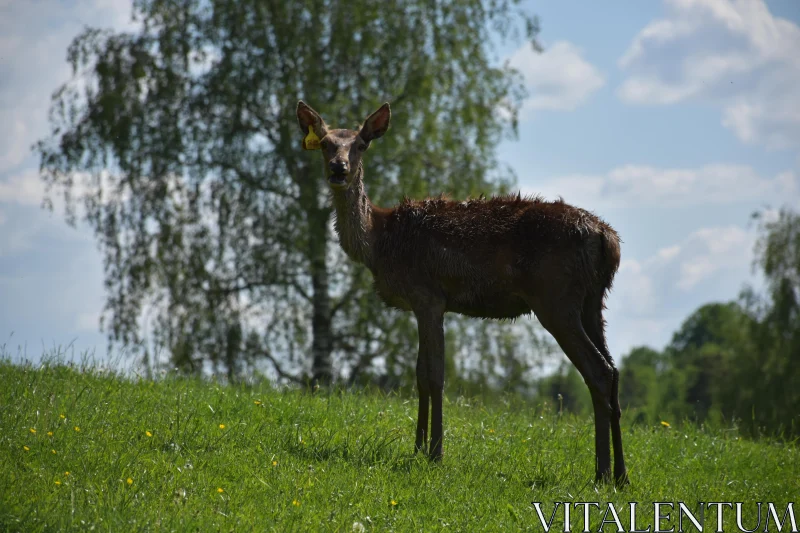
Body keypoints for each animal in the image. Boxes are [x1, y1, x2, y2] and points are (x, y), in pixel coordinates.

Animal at [296, 98, 628, 482]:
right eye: (325, 143)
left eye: (361, 144)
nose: (339, 168)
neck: (380, 241)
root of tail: (608, 239)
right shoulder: (421, 304)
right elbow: (419, 374)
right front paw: (416, 448)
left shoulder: (428, 294)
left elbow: (435, 375)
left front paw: (435, 454)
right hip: (593, 301)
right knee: (614, 370)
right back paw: (621, 475)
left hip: (556, 298)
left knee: (598, 371)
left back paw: (602, 474)